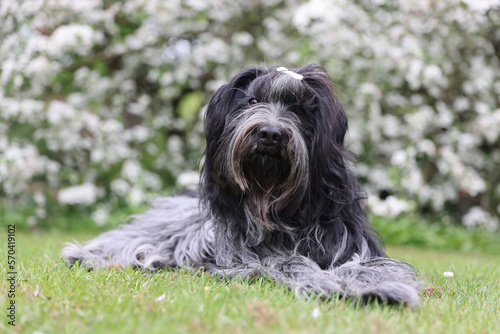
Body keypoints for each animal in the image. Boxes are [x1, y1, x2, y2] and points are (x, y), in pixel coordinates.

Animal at [63, 65, 422, 308]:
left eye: (299, 109)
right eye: (252, 101)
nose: (270, 134)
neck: (282, 209)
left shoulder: (354, 247)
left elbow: (373, 269)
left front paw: (378, 289)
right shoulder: (251, 258)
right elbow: (291, 263)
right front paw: (323, 282)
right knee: (132, 238)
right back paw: (88, 255)